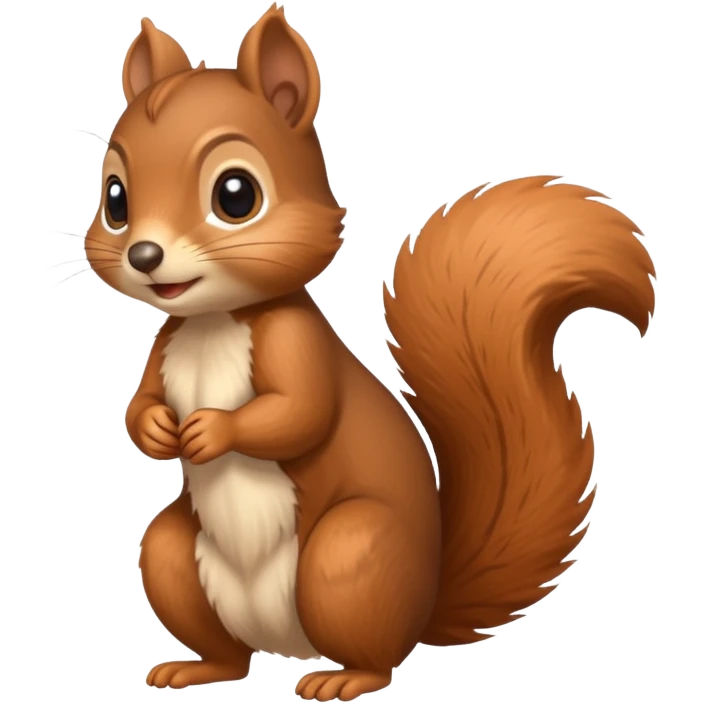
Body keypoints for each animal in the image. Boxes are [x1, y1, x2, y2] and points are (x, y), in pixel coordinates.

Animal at [84, 5, 657, 700]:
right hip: (174, 556)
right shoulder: (165, 345)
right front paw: (159, 430)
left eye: (236, 195)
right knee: (229, 652)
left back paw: (343, 679)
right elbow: (138, 406)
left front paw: (212, 430)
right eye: (115, 199)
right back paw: (195, 667)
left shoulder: (296, 344)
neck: (215, 320)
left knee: (376, 652)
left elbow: (299, 413)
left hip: (351, 556)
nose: (144, 255)